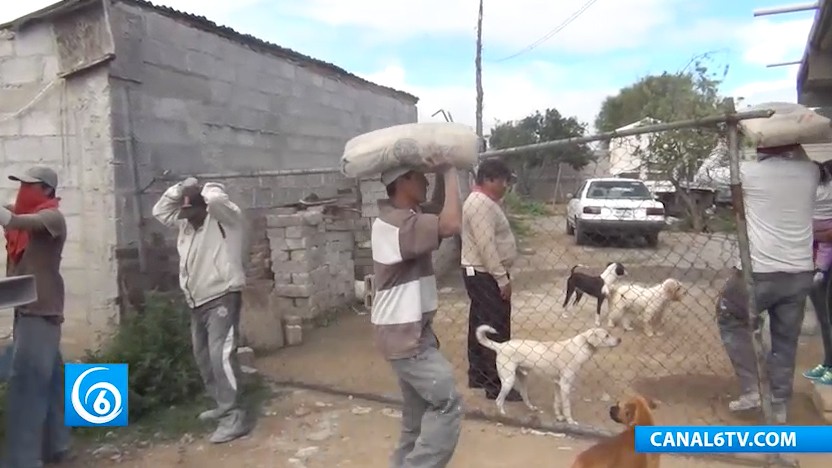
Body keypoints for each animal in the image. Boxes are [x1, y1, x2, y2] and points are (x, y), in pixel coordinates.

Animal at [478, 326, 620, 424]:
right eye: (606, 335)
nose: (620, 339)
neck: (579, 348)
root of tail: (501, 346)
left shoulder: (558, 384)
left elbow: (557, 402)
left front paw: (559, 417)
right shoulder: (565, 385)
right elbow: (566, 406)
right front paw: (570, 421)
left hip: (522, 377)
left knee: (524, 395)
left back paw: (532, 408)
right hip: (508, 380)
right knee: (498, 400)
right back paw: (503, 414)